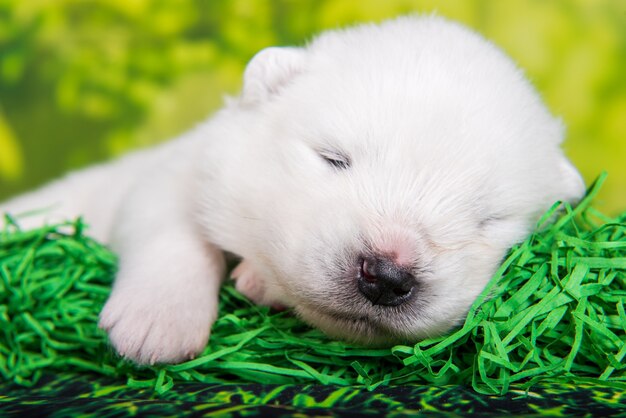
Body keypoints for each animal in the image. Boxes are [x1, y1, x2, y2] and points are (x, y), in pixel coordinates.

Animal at [1, 15, 584, 362]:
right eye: (333, 158)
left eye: (490, 219)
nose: (386, 275)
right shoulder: (179, 166)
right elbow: (170, 225)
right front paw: (157, 325)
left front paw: (259, 281)